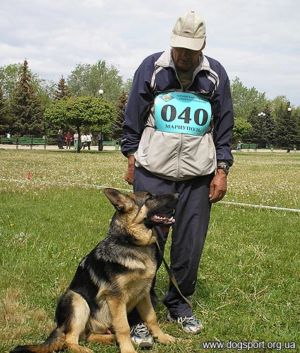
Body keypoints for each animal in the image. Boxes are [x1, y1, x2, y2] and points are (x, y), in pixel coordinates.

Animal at [12, 187, 178, 352]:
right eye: (149, 198)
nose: (177, 194)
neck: (130, 243)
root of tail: (59, 325)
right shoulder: (116, 298)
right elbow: (123, 326)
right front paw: (128, 349)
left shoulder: (143, 294)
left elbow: (152, 318)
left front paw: (162, 337)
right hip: (79, 301)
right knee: (70, 339)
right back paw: (85, 349)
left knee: (88, 336)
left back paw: (111, 338)